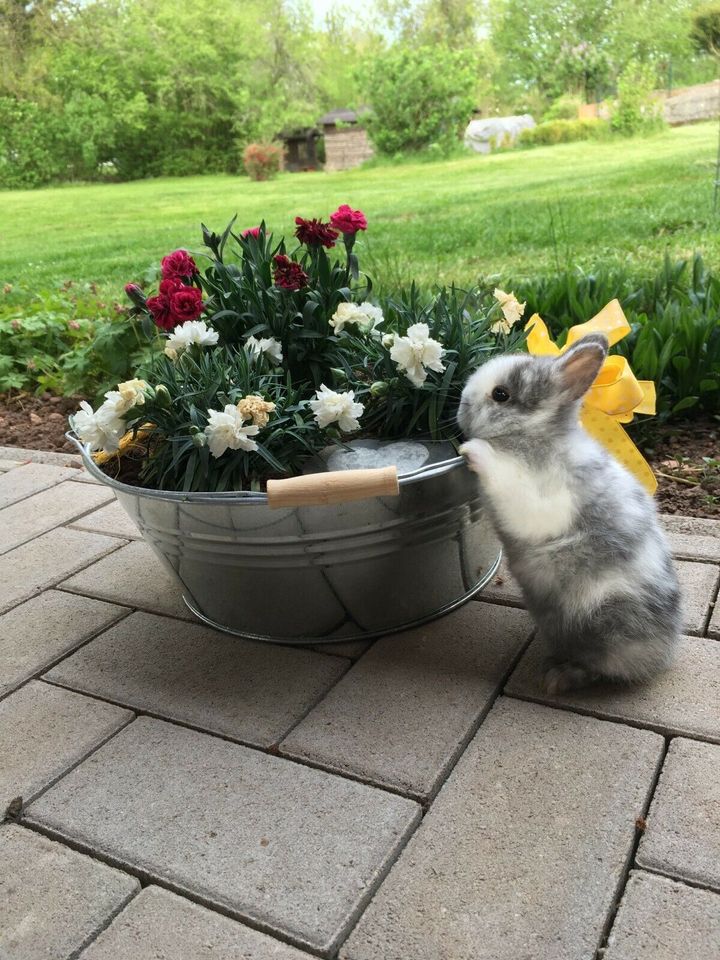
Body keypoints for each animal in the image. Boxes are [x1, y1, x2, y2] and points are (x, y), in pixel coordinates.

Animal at [458, 334, 684, 692]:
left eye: (501, 394)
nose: (462, 405)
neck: (534, 436)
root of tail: (662, 656)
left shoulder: (544, 498)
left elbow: (504, 476)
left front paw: (472, 450)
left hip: (605, 619)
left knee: (601, 666)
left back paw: (556, 678)